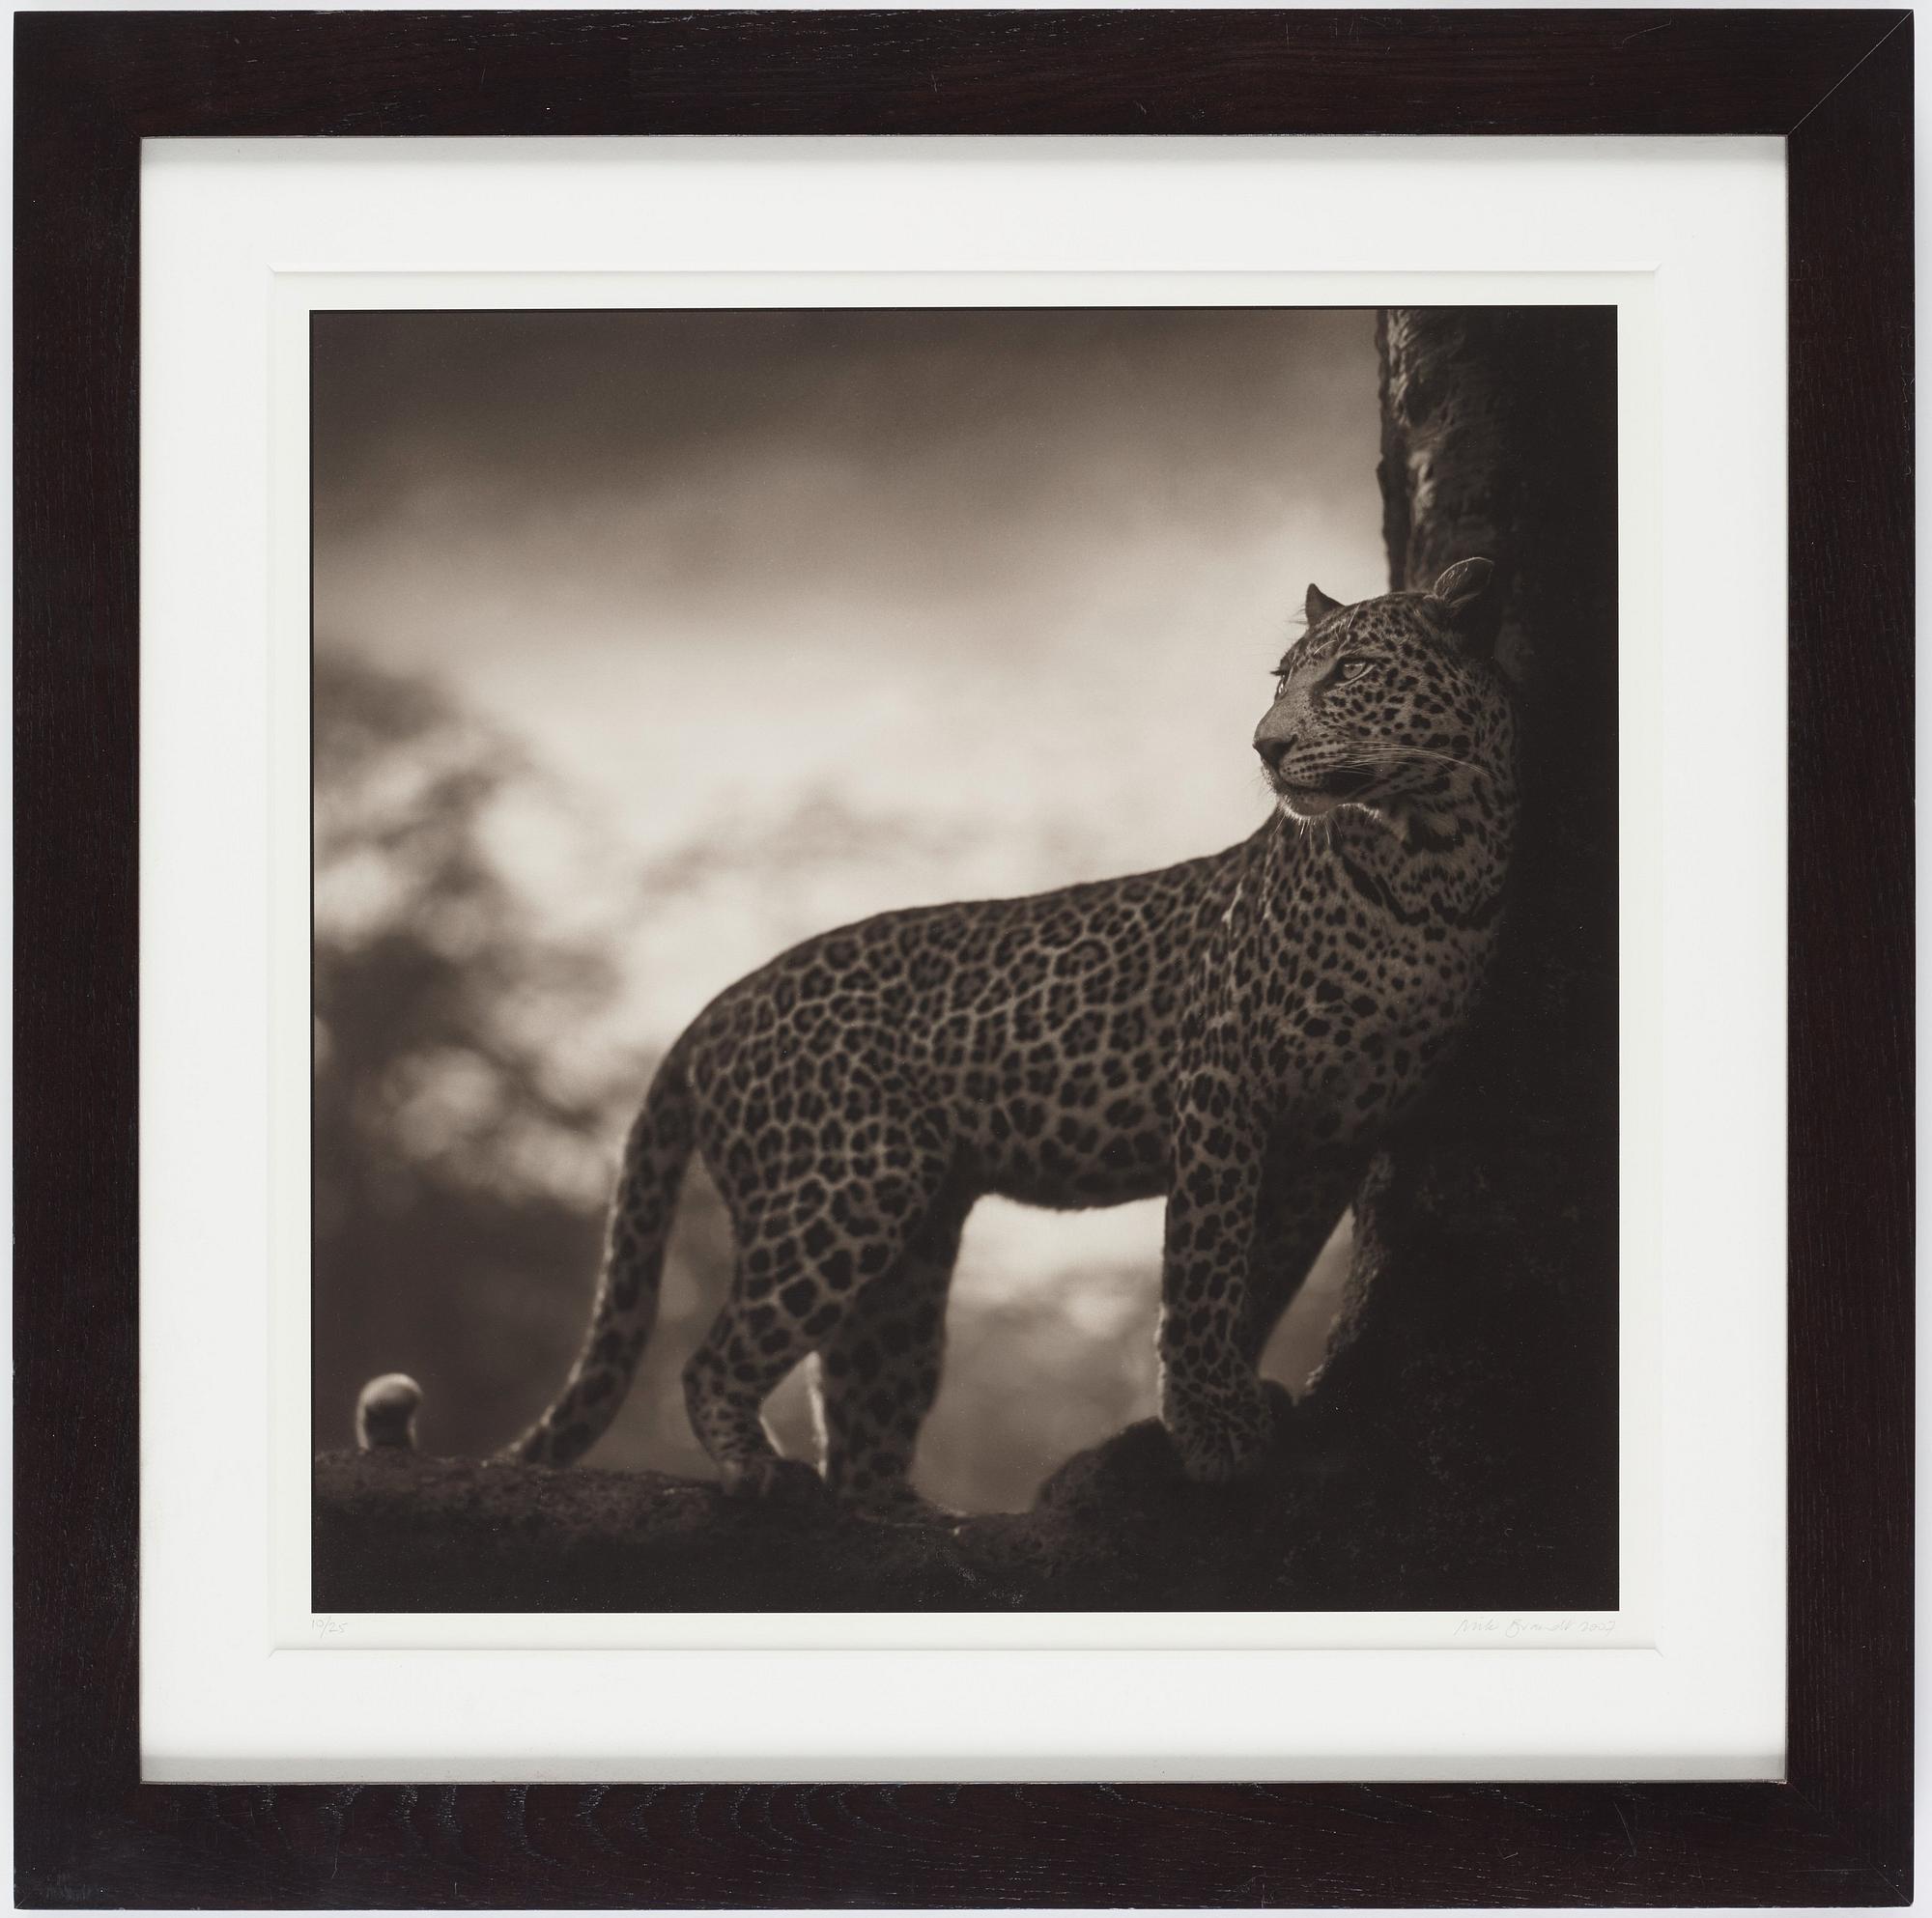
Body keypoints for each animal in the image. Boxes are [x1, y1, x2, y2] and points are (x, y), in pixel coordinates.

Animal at [359, 557, 1518, 1515]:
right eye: (1280, 678)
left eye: (1350, 672)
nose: (1266, 745)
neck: (1432, 862)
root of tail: (714, 1005)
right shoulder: (1222, 1090)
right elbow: (1199, 1273)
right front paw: (1209, 1429)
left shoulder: (1332, 1137)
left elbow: (1261, 1276)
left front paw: (1234, 1396)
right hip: (844, 1186)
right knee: (715, 1356)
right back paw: (755, 1472)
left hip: (909, 1251)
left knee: (864, 1402)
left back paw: (895, 1514)